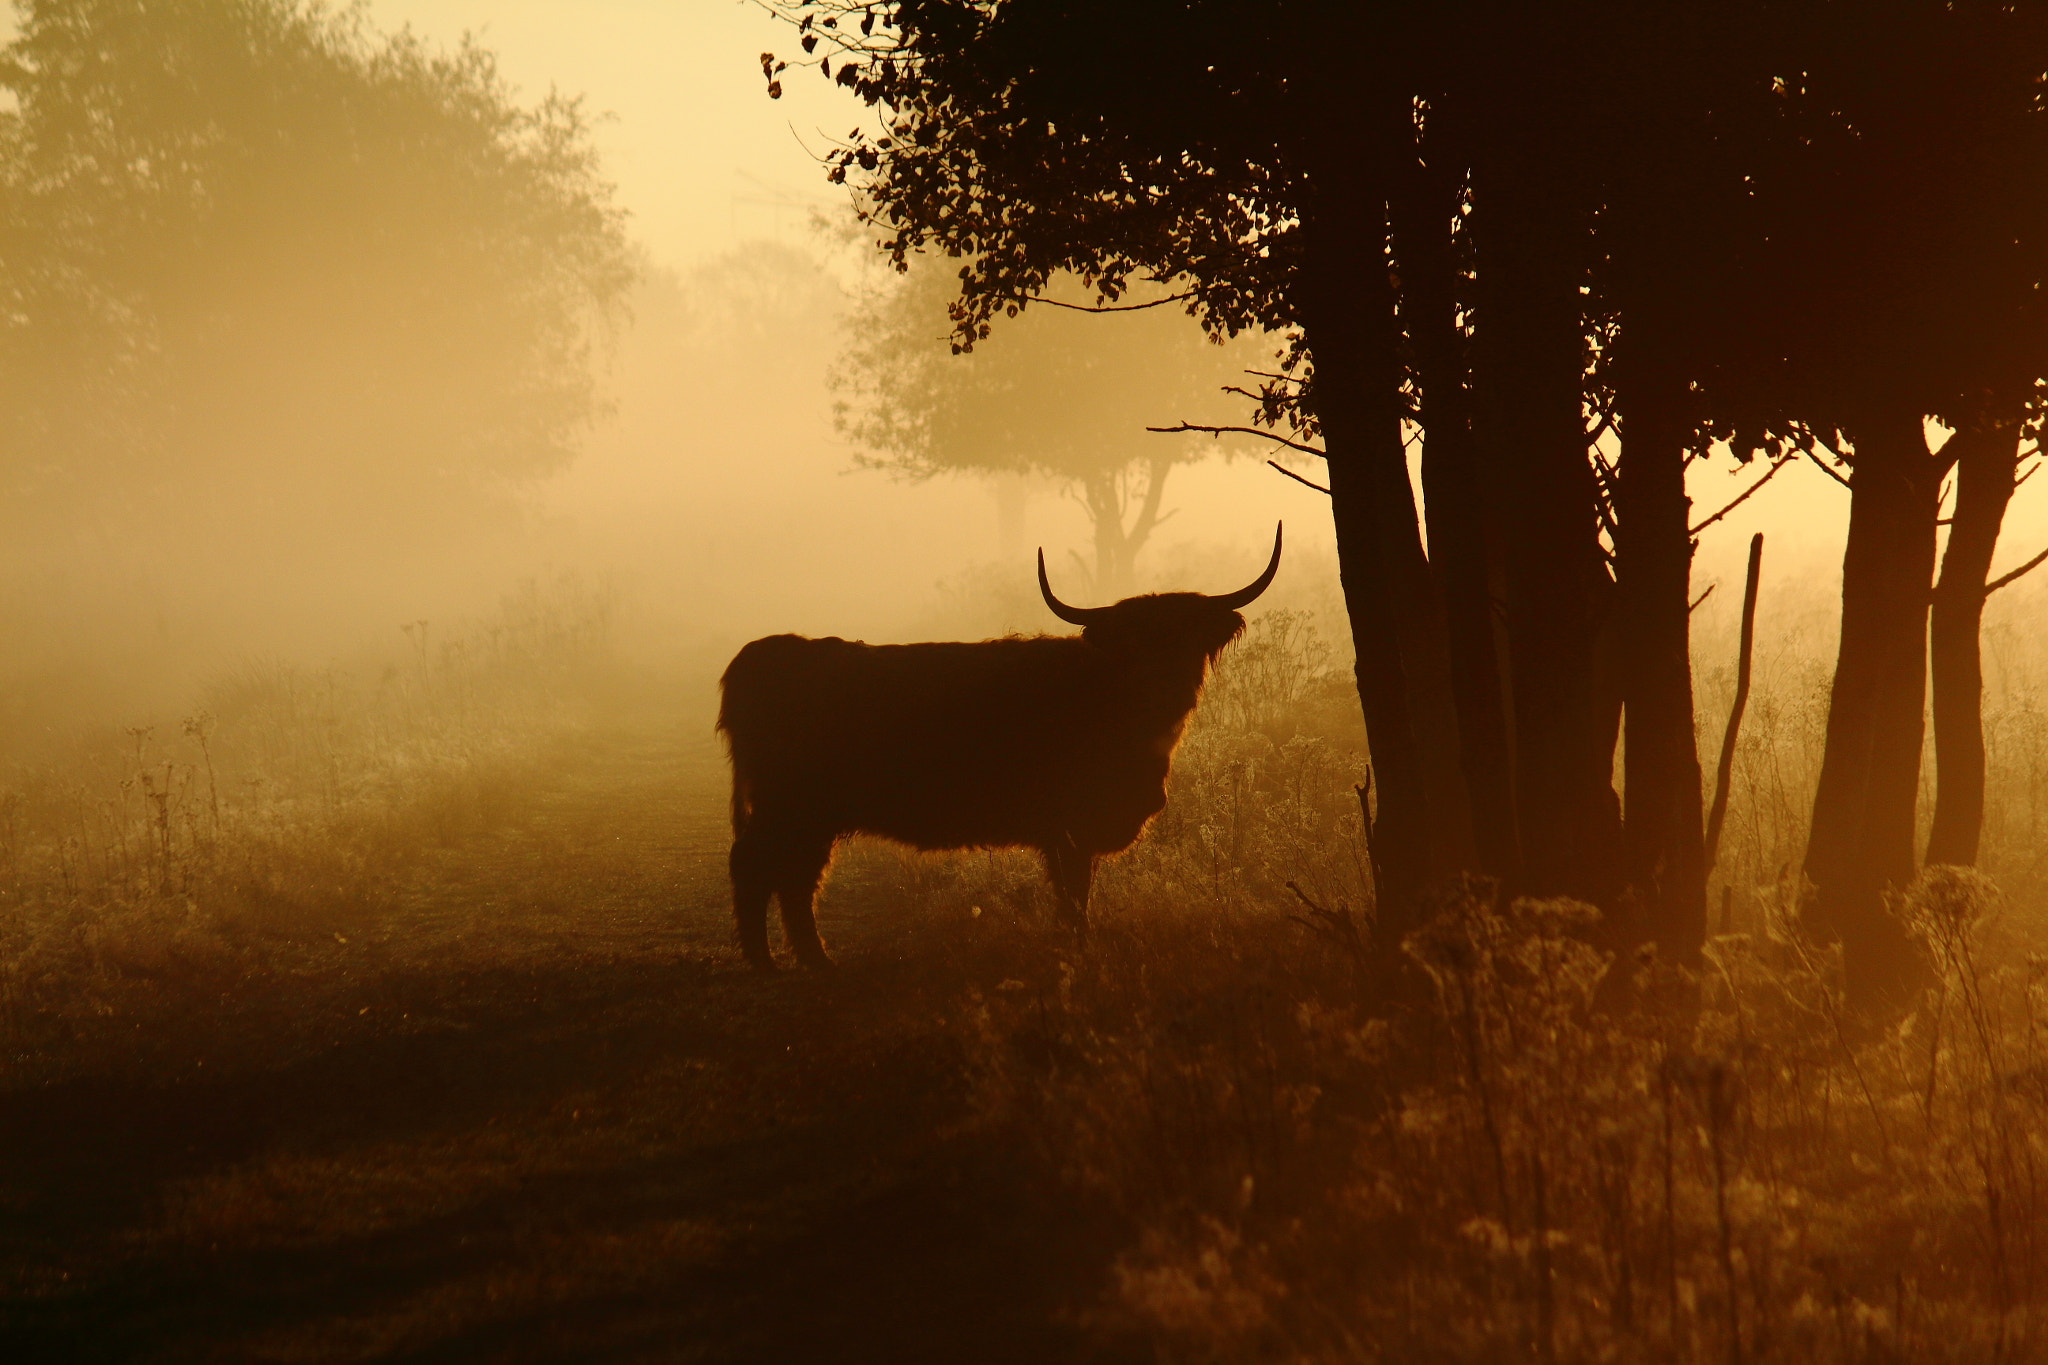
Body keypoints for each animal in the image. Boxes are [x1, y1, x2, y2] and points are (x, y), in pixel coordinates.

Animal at [716, 524, 1282, 969]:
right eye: (1133, 642)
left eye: (1185, 636)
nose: (1162, 683)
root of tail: (761, 654)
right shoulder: (1070, 828)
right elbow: (1074, 896)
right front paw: (1080, 950)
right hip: (789, 807)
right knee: (757, 867)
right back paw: (770, 964)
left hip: (810, 816)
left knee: (793, 878)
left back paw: (814, 961)